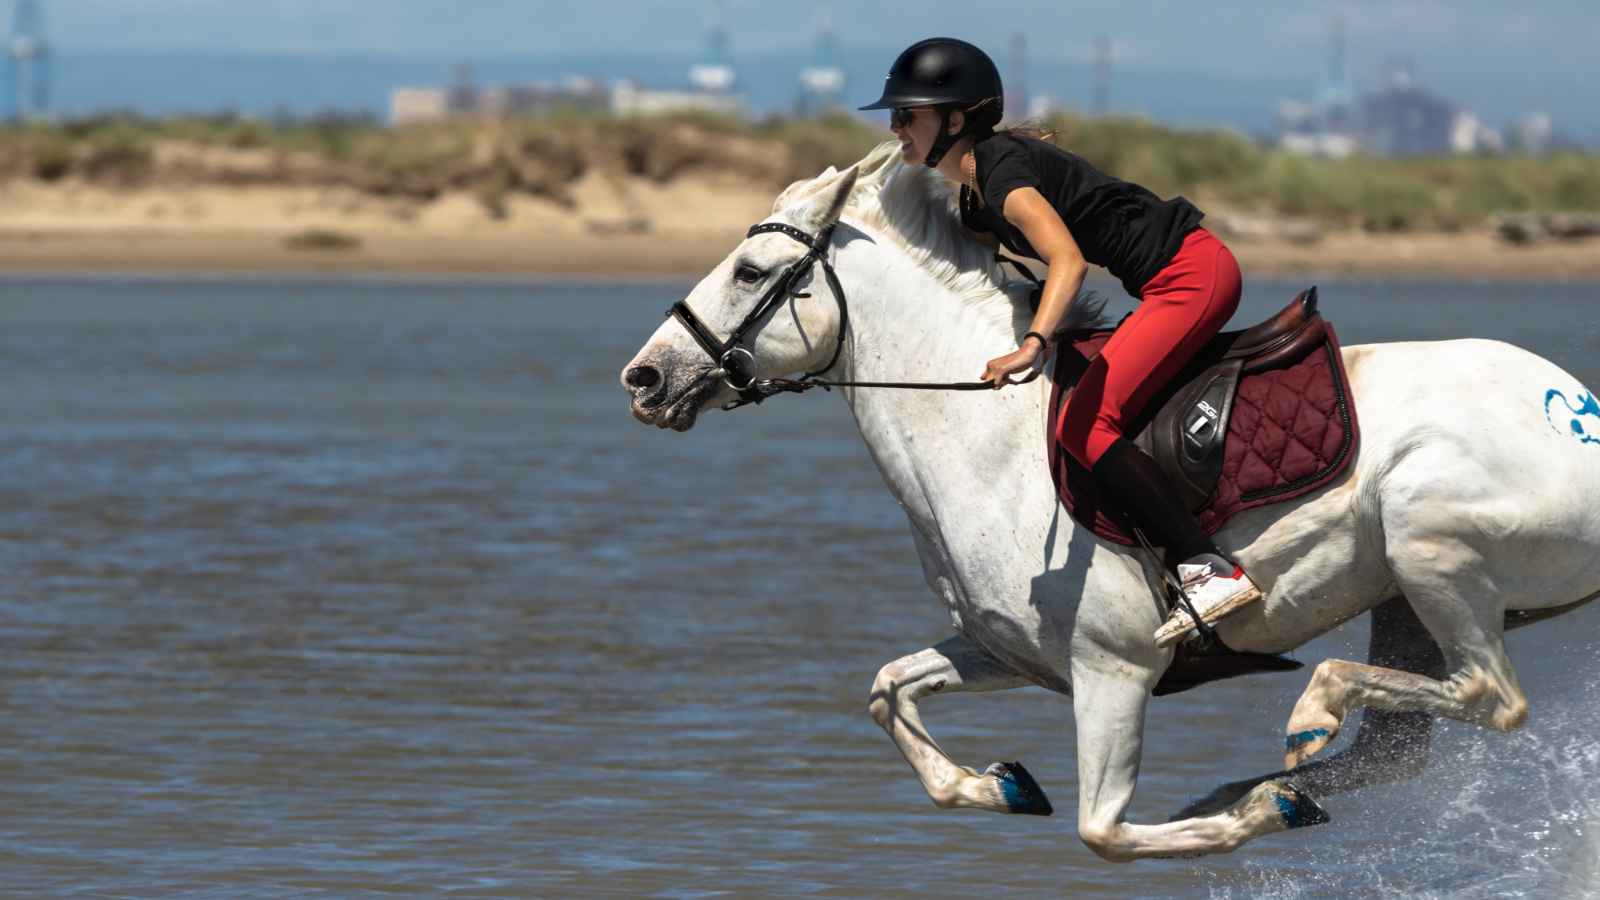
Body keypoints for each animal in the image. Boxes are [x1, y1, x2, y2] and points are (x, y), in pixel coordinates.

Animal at [618, 141, 1600, 861]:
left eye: (751, 271)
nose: (644, 378)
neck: (984, 430)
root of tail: (1579, 411)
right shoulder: (1011, 651)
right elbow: (889, 692)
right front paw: (1002, 783)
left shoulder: (1113, 670)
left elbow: (1104, 832)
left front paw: (1253, 818)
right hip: (1403, 599)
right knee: (1399, 747)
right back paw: (1276, 774)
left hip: (1431, 547)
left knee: (1491, 699)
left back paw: (1303, 724)